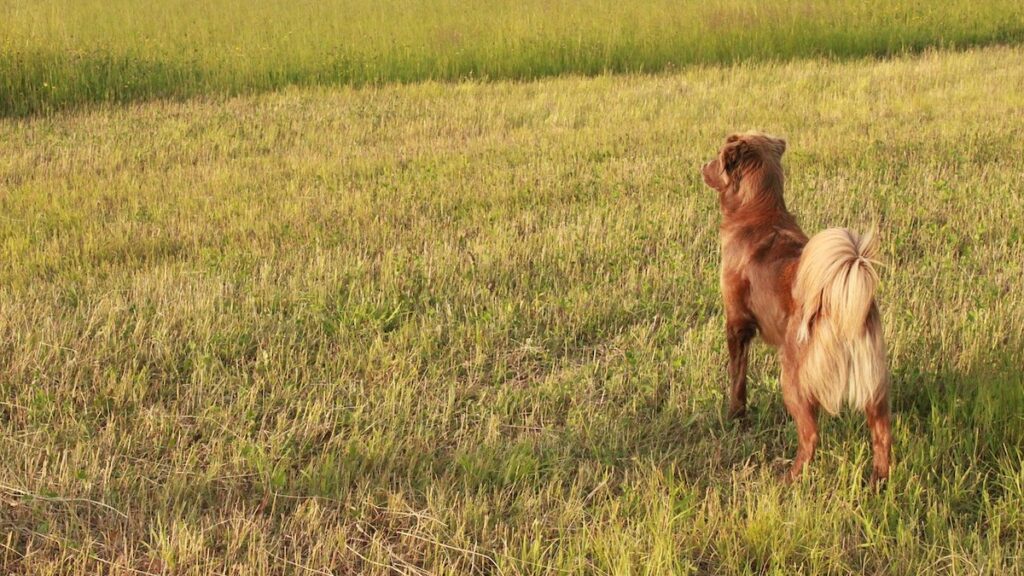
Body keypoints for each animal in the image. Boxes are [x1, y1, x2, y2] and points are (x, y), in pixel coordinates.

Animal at [700, 132, 892, 481]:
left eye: (717, 157)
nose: (701, 167)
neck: (759, 212)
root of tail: (837, 303)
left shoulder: (736, 323)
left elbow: (737, 378)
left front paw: (735, 416)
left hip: (792, 379)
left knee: (811, 436)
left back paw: (789, 477)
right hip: (875, 384)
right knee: (882, 434)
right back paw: (878, 481)